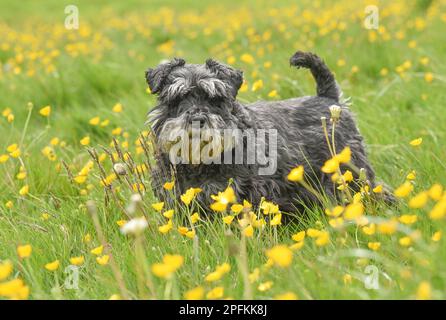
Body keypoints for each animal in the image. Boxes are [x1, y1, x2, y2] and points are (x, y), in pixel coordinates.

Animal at [145, 51, 390, 214]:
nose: (197, 120)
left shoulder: (247, 192)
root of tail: (329, 99)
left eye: (215, 99)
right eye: (176, 98)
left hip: (350, 173)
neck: (199, 165)